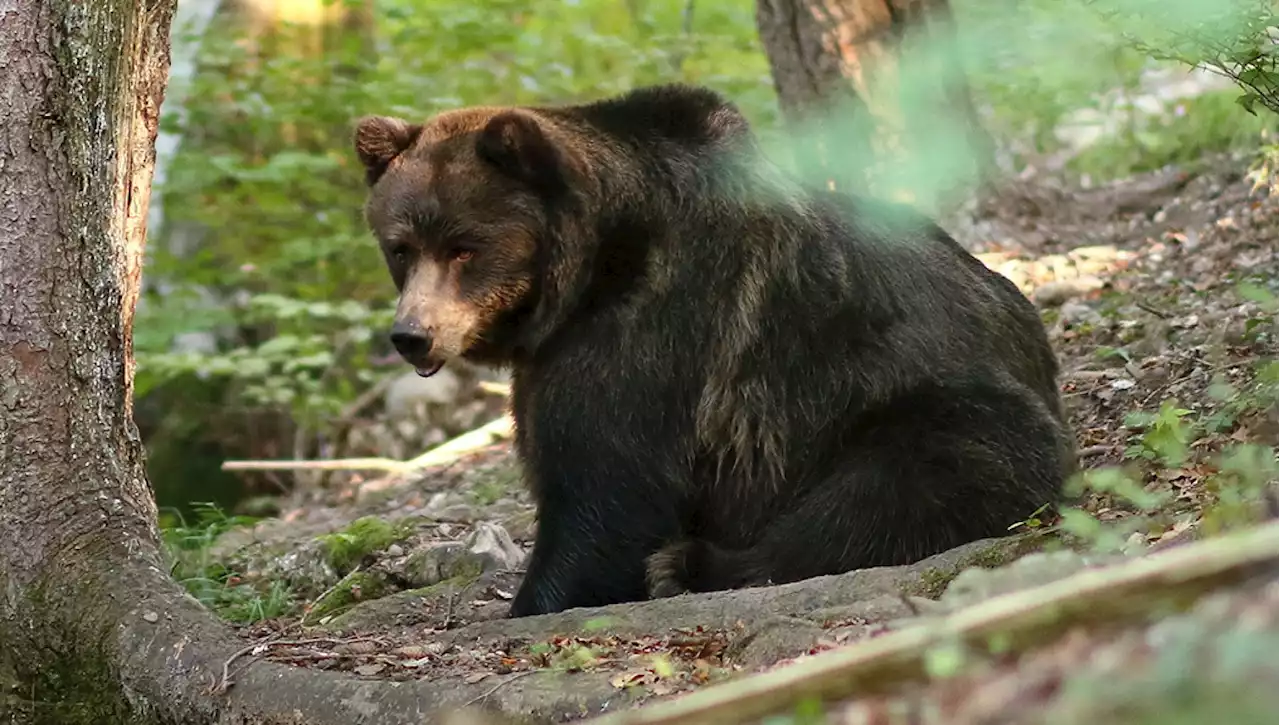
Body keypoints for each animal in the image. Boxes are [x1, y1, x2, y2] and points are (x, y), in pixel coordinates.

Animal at [353, 83, 1080, 619]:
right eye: (401, 247)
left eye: (463, 246)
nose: (412, 334)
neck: (591, 271)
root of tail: (1036, 343)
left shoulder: (650, 333)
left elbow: (605, 491)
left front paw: (540, 596)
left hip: (922, 403)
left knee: (906, 480)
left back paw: (689, 564)